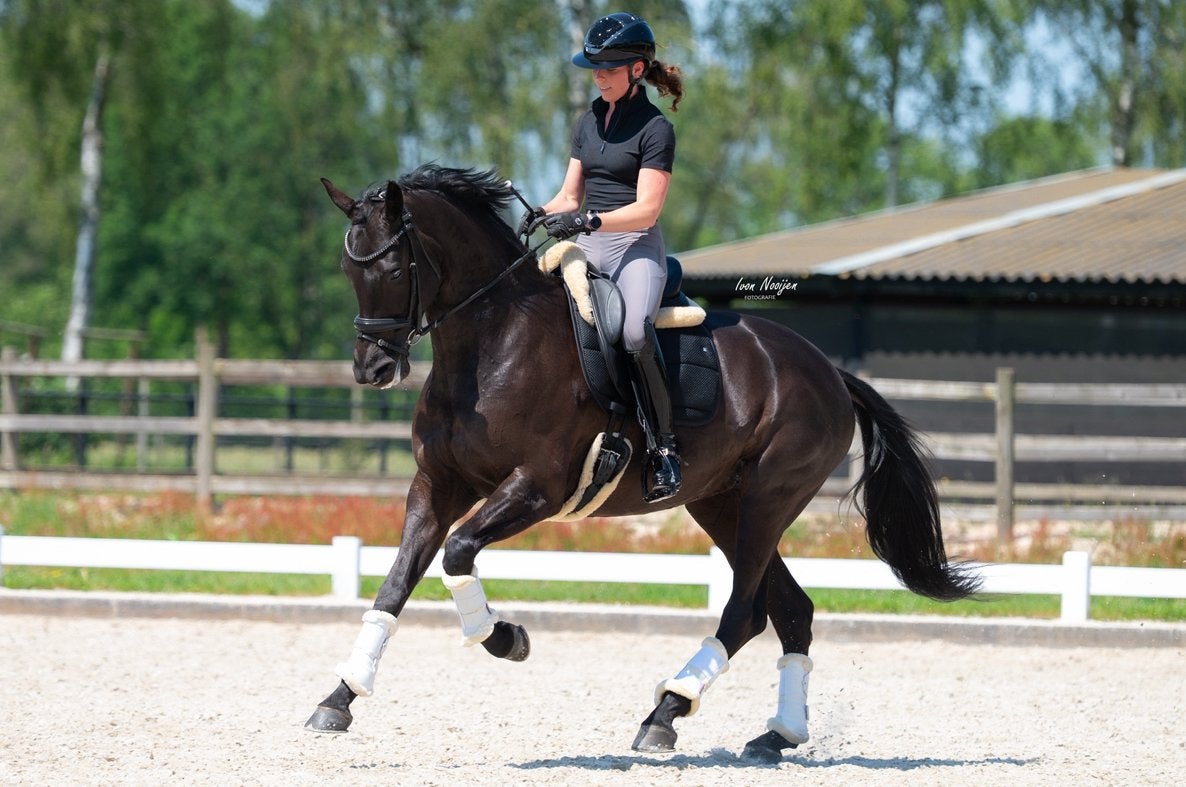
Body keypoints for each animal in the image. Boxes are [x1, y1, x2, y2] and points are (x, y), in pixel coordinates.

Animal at [305, 164, 980, 761]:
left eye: (395, 267)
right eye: (345, 268)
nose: (373, 369)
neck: (491, 344)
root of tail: (830, 371)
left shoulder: (537, 487)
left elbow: (458, 552)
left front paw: (506, 637)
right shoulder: (436, 485)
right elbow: (395, 584)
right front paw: (338, 700)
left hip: (768, 499)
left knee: (745, 611)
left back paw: (666, 713)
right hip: (720, 503)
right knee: (791, 610)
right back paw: (776, 735)